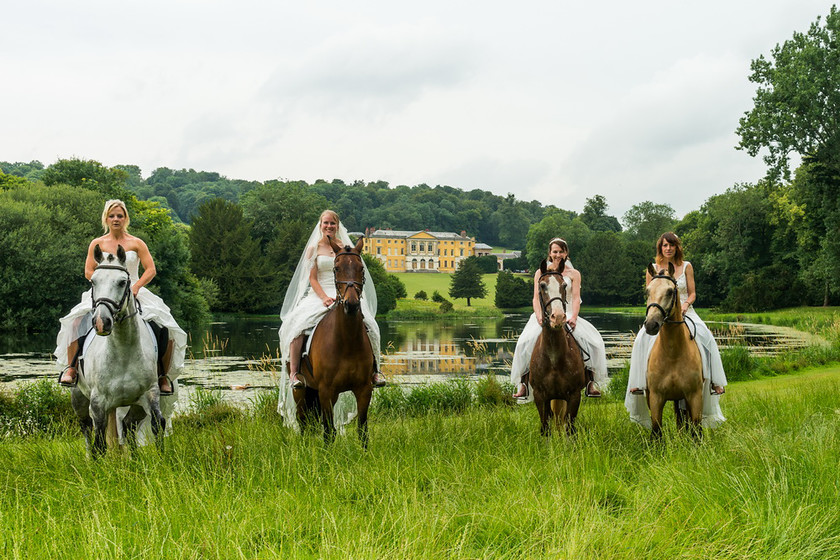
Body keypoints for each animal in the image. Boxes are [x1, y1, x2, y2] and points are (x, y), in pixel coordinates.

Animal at [296, 235, 374, 446]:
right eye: (336, 268)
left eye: (361, 268)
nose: (351, 304)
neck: (347, 340)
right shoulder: (325, 390)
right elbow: (328, 432)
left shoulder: (364, 389)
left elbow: (362, 430)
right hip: (301, 391)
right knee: (302, 422)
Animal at [528, 258, 588, 438]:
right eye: (542, 285)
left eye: (564, 285)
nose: (559, 317)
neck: (554, 356)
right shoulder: (540, 396)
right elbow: (545, 428)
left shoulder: (574, 396)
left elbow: (569, 429)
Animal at [648, 260, 704, 440]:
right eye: (647, 291)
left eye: (670, 291)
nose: (651, 325)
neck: (673, 353)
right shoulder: (656, 397)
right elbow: (656, 430)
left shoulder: (694, 396)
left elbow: (696, 430)